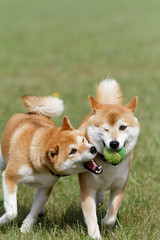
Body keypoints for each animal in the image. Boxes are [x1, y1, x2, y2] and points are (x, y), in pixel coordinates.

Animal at [0, 95, 102, 232]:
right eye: (72, 151)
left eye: (82, 140)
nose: (93, 149)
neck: (38, 162)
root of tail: (34, 112)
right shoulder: (10, 177)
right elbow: (12, 212)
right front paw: (3, 221)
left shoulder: (46, 186)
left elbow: (35, 209)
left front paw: (25, 228)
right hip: (2, 160)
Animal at [78, 79, 140, 239]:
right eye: (105, 128)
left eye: (123, 127)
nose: (114, 143)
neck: (109, 165)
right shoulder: (87, 187)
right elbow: (91, 216)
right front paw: (95, 235)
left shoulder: (120, 186)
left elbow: (112, 213)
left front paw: (106, 222)